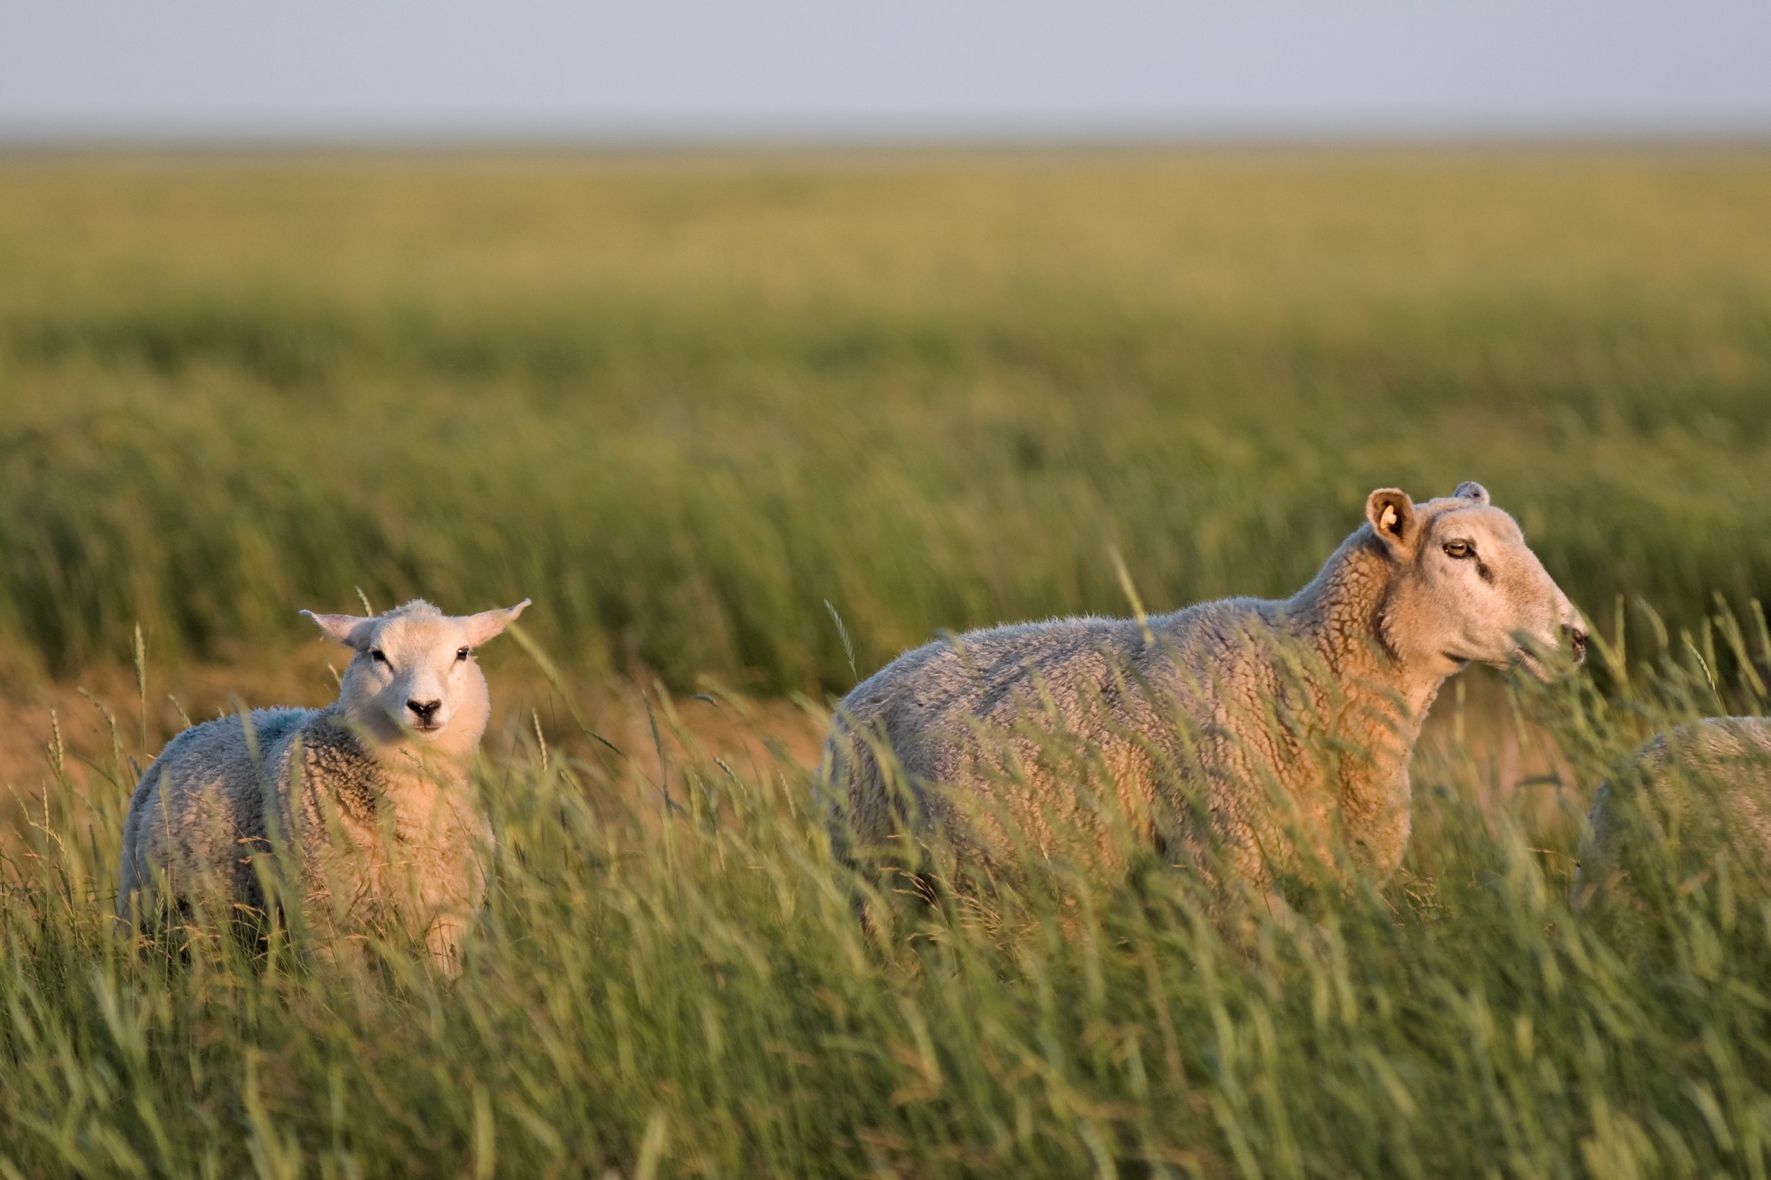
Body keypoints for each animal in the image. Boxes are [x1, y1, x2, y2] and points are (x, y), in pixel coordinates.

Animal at [117, 598, 527, 970]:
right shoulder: (326, 919)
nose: (424, 707)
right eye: (377, 655)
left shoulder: (445, 919)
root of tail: (198, 728)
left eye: (462, 653)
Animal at [821, 481, 1586, 903]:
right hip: (875, 879)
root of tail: (871, 680)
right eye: (1459, 550)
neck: (1298, 671)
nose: (1576, 636)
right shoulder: (1224, 871)